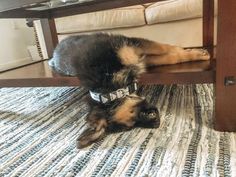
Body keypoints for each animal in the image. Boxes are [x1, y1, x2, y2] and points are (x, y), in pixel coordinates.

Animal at [49, 32, 210, 148]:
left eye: (139, 114)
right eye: (131, 126)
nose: (156, 123)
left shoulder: (132, 46)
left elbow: (166, 49)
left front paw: (196, 52)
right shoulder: (139, 58)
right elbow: (168, 57)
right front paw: (192, 53)